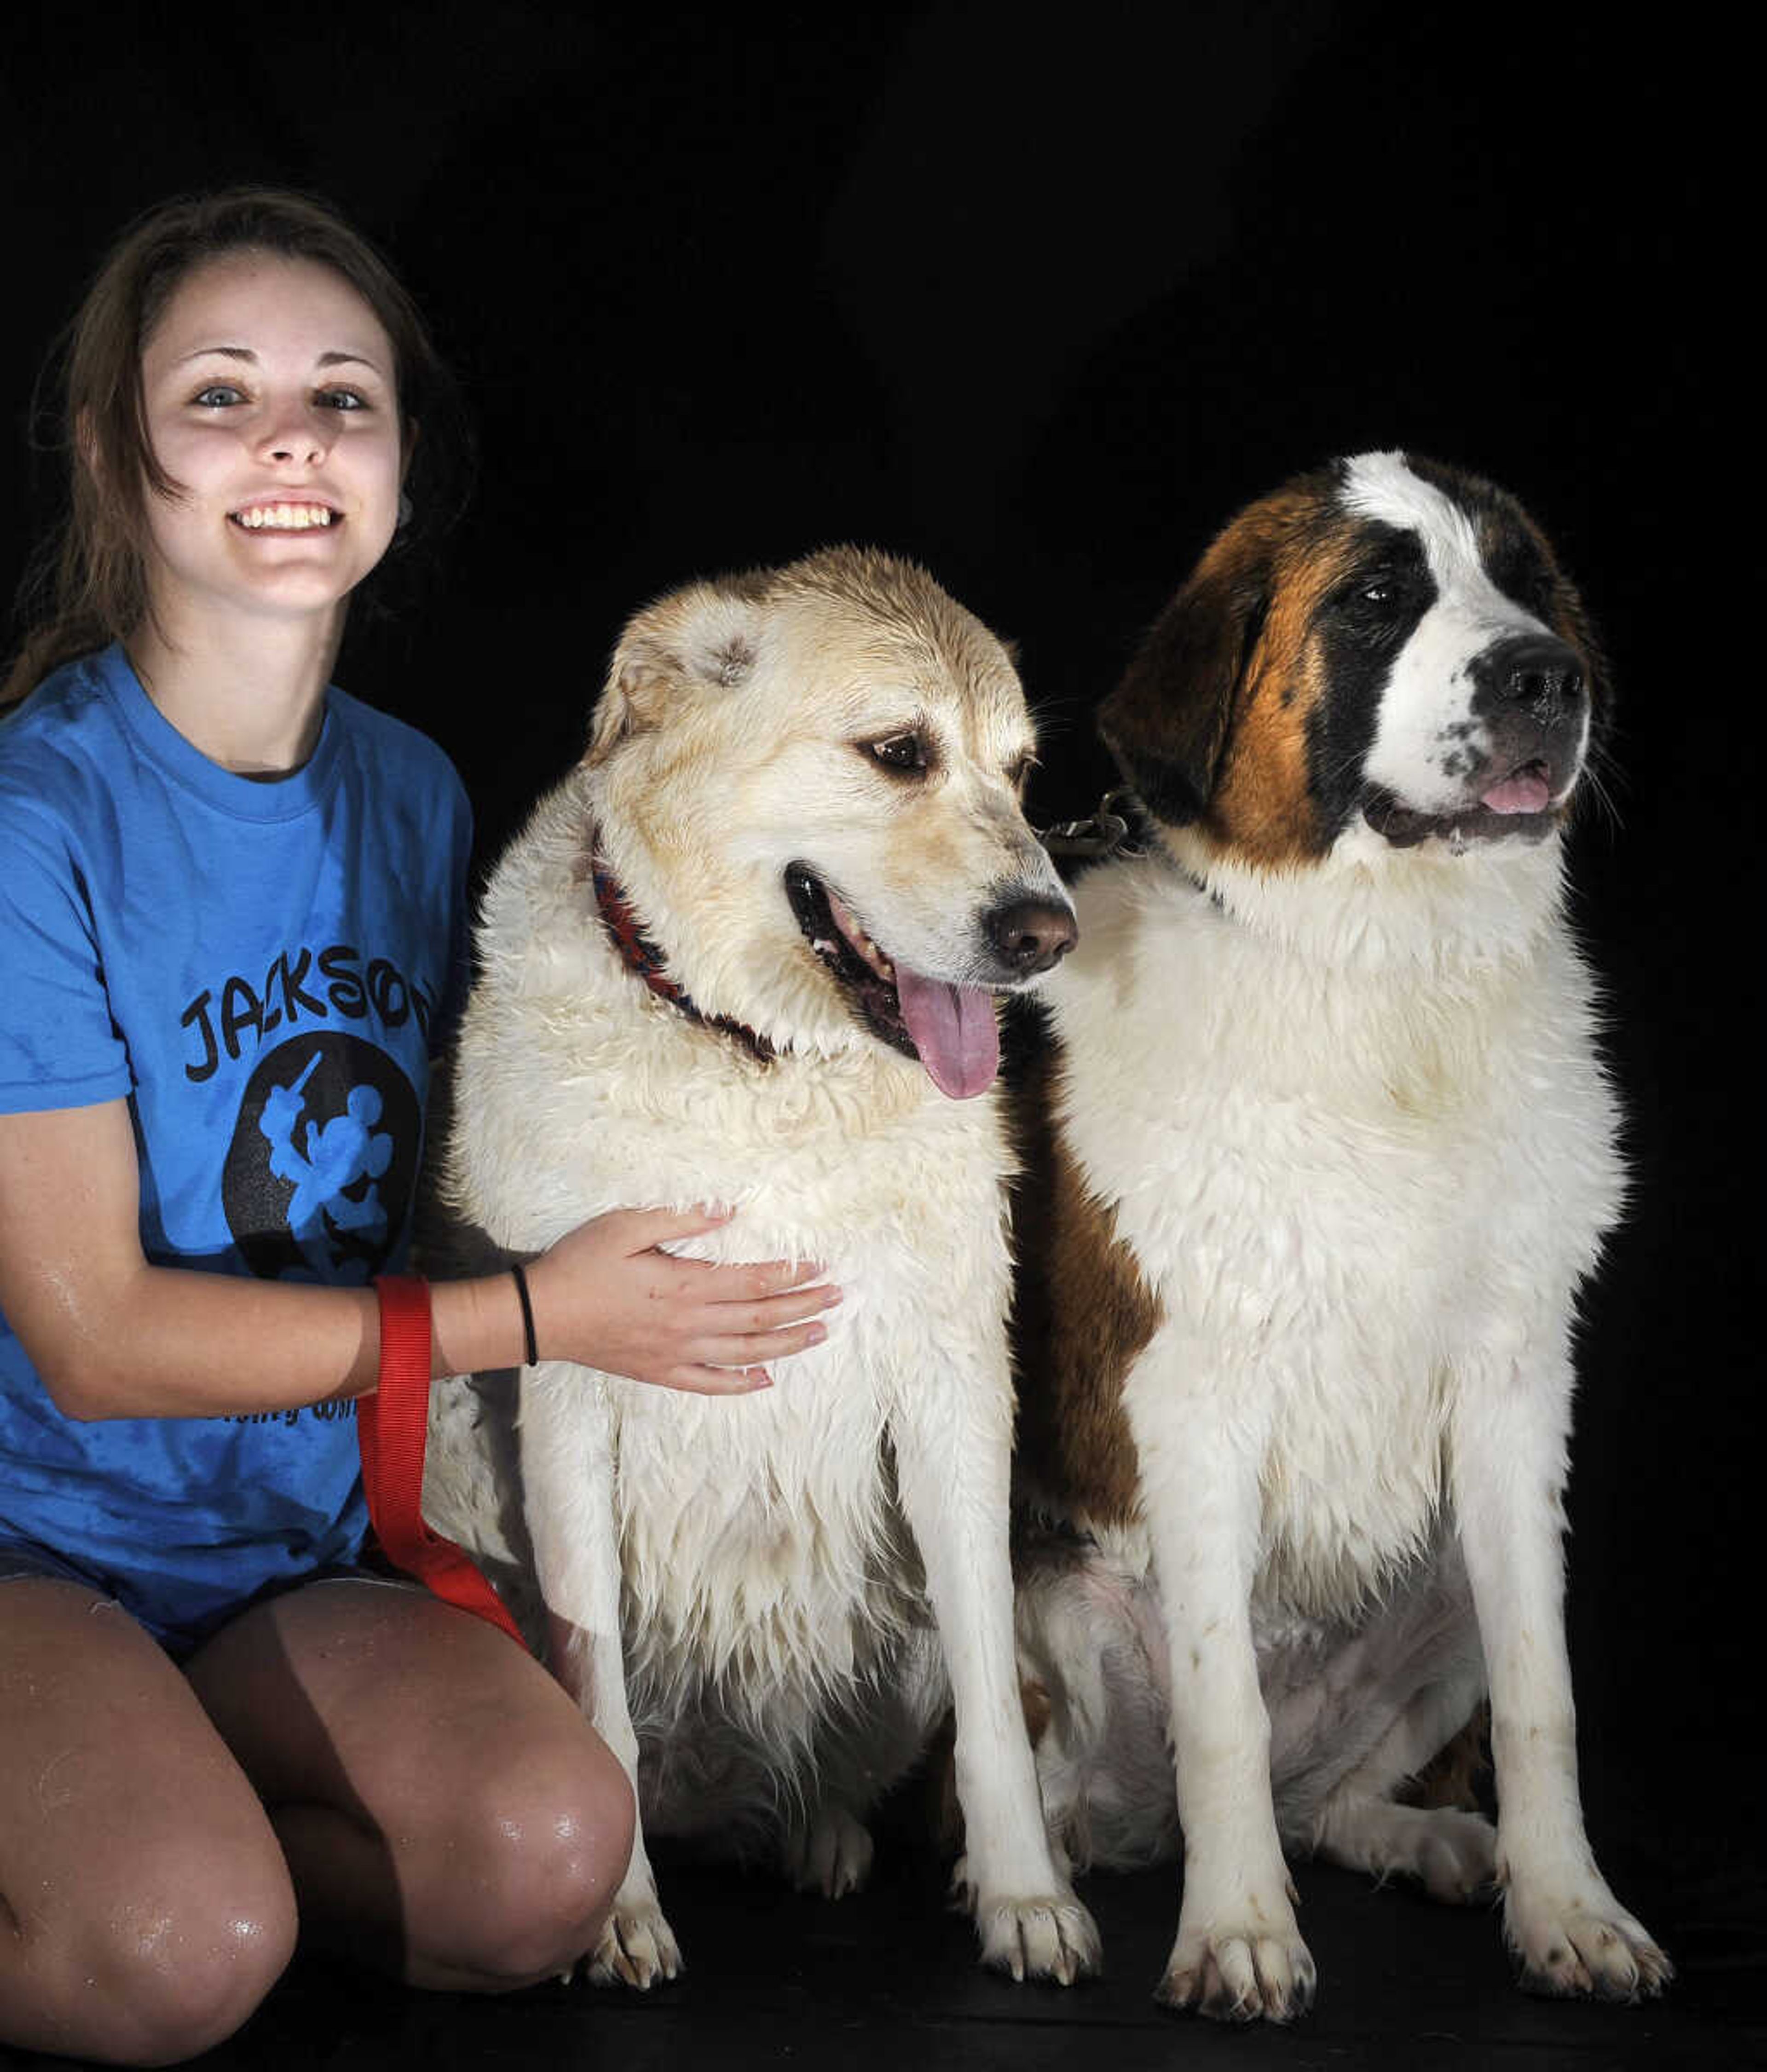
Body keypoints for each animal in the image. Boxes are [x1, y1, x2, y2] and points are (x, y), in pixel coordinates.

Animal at [422, 547, 1093, 1989]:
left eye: (1020, 773)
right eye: (898, 753)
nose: (1049, 933)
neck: (755, 1061)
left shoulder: (955, 1383)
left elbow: (994, 1717)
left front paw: (1023, 1894)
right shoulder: (569, 1388)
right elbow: (599, 1707)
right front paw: (616, 1911)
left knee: (843, 1765)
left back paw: (826, 1836)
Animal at [1006, 454, 1665, 2022]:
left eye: (1525, 583)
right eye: (1374, 601)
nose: (1547, 676)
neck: (1384, 978)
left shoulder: (1514, 1390)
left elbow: (1544, 1694)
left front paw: (1570, 1910)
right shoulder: (1190, 1396)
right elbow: (1224, 1703)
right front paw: (1240, 1932)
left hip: (1442, 1588)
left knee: (1341, 1793)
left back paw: (1432, 1842)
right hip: (1034, 1600)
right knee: (1064, 1778)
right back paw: (1043, 1885)